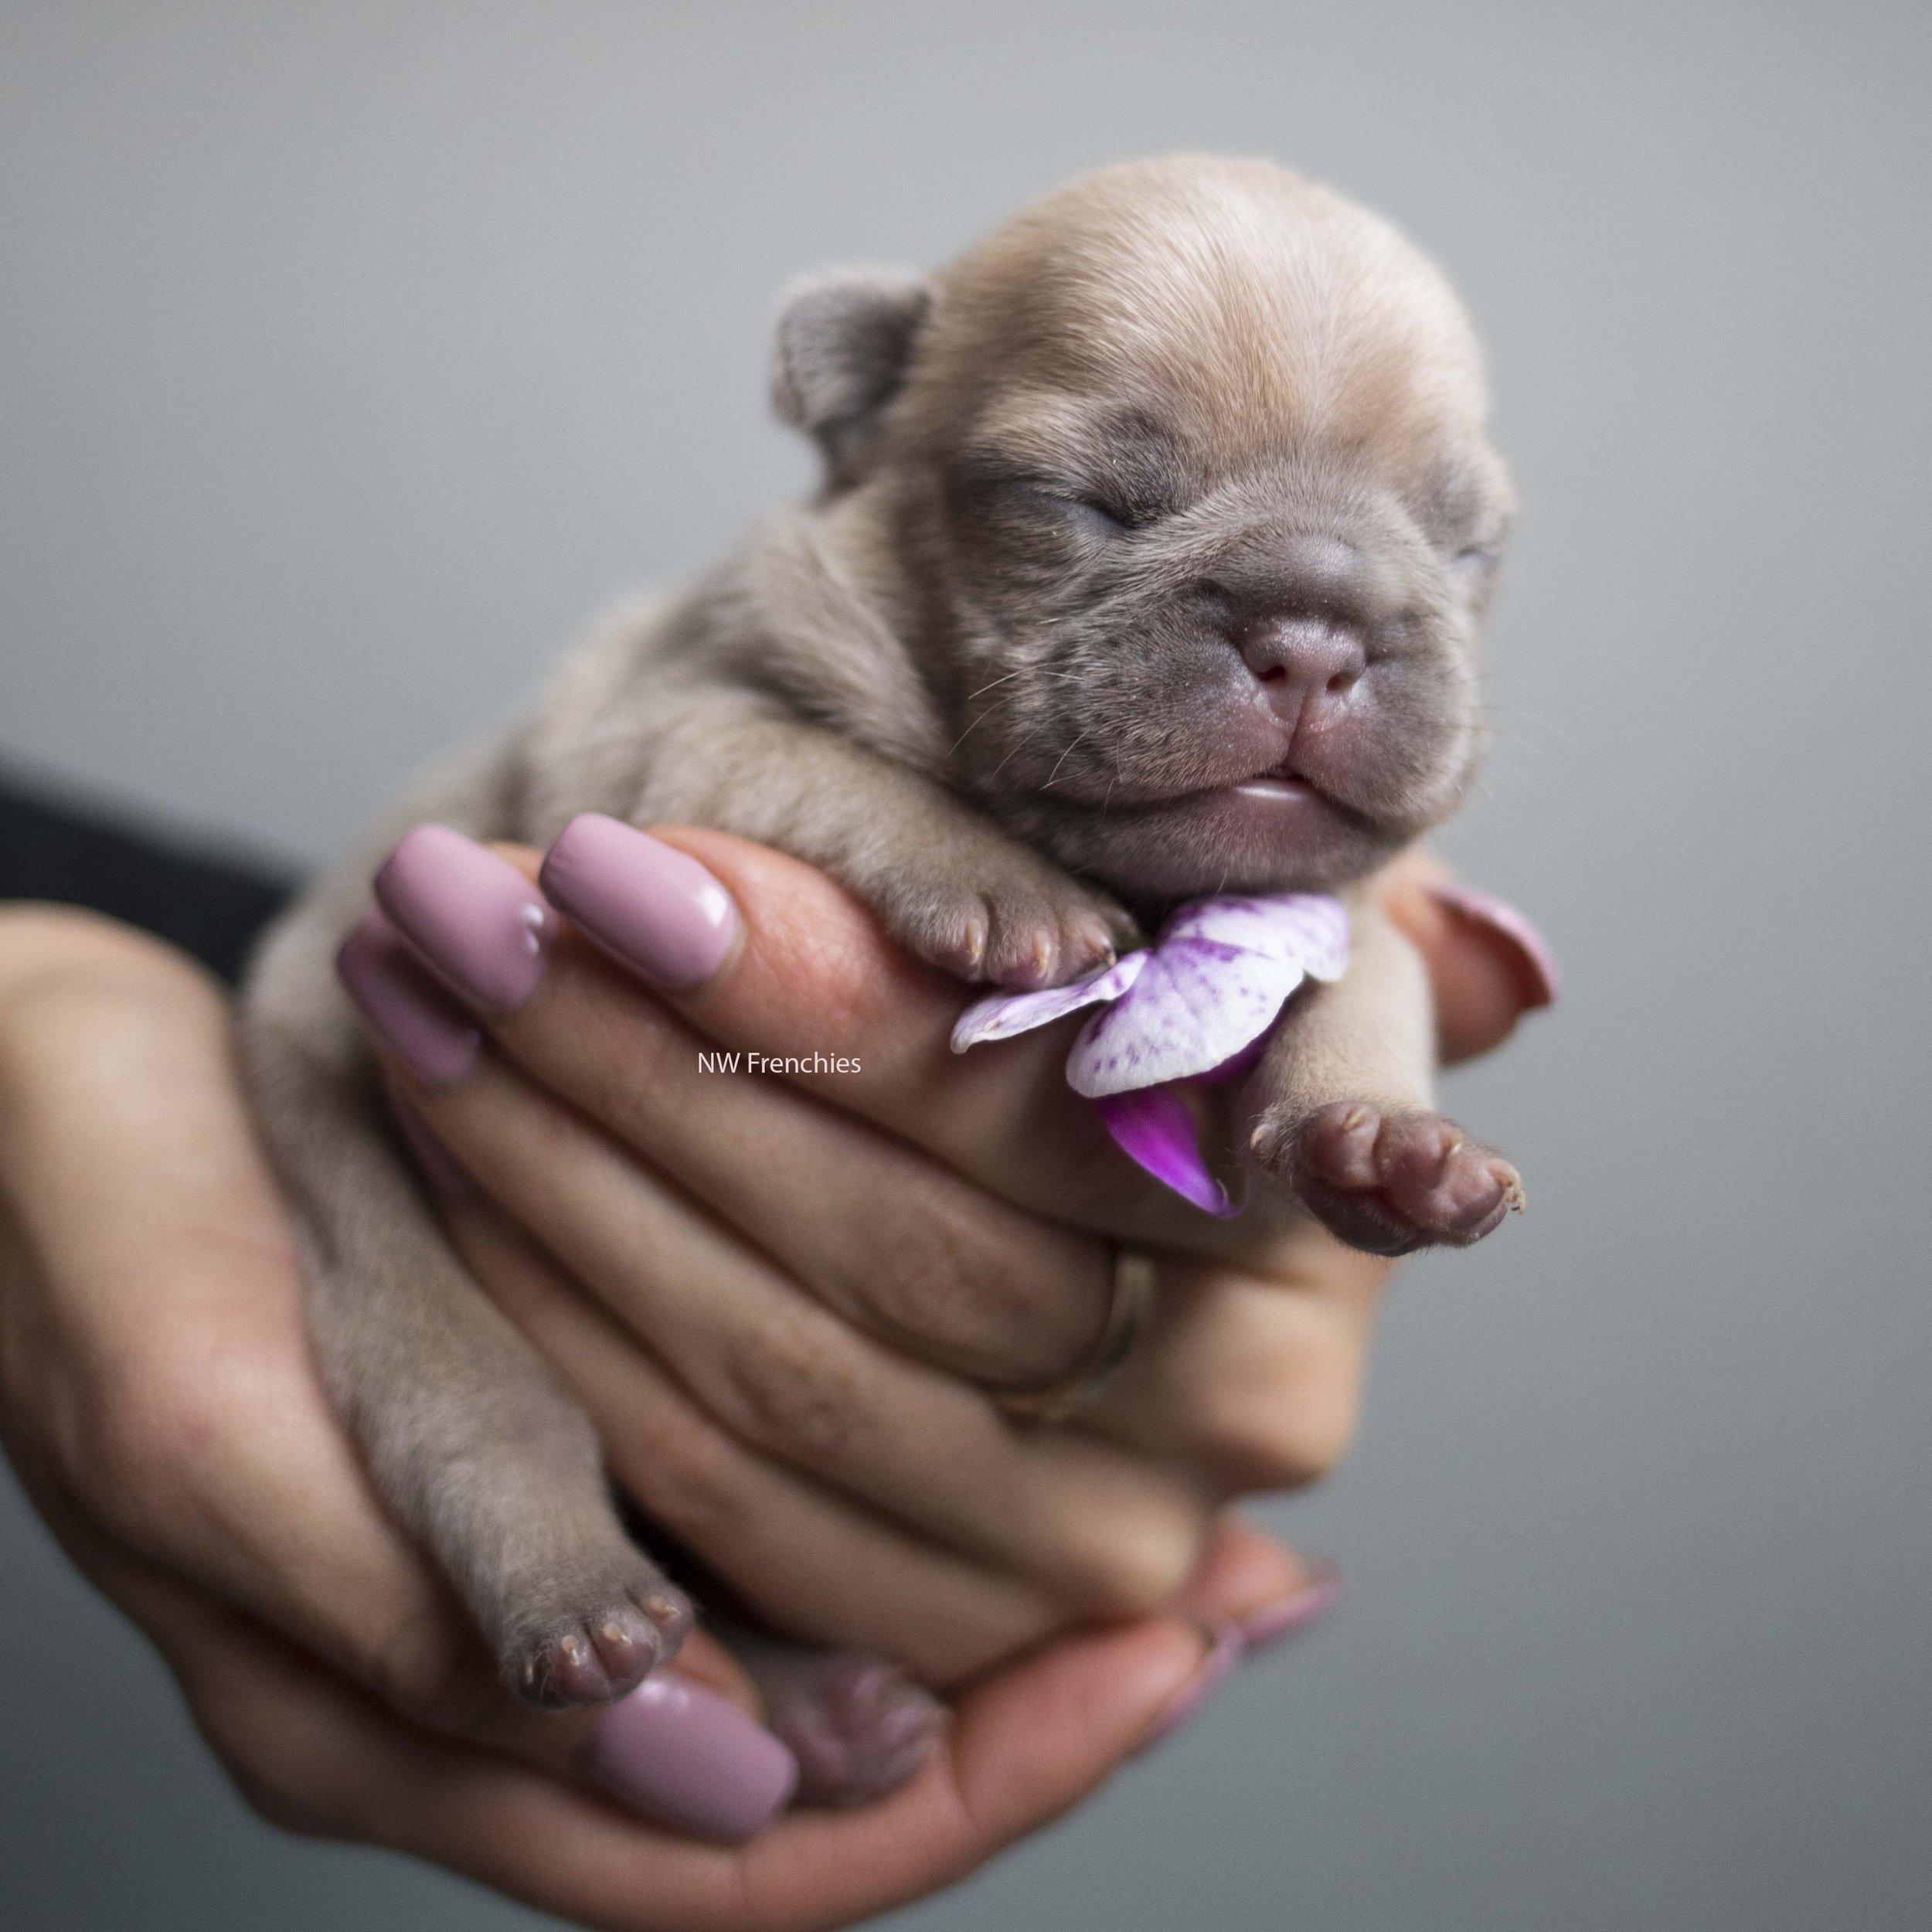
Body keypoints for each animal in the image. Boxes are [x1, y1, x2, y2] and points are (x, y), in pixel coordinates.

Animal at [241, 158, 1515, 1801]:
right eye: (1085, 505)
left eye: (1467, 547)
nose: (1319, 629)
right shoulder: (646, 735)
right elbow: (822, 764)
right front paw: (1006, 889)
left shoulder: (1349, 905)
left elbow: (1375, 989)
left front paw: (1387, 1145)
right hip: (362, 1204)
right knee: (472, 1412)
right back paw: (585, 1608)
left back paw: (826, 1719)